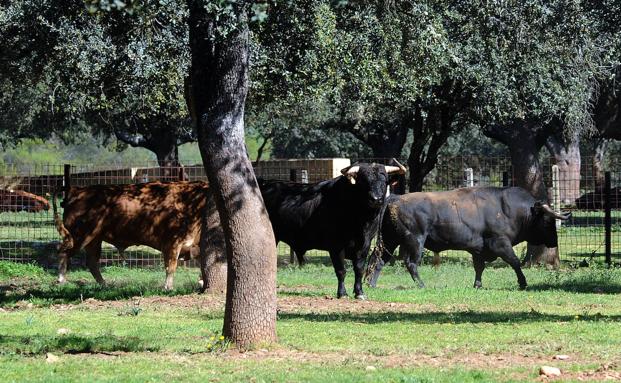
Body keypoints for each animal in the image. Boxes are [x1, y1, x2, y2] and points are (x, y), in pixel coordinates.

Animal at [52, 182, 223, 290]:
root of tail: (76, 190)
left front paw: (200, 281)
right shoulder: (173, 243)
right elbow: (171, 266)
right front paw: (168, 287)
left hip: (94, 240)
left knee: (92, 263)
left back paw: (104, 284)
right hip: (79, 236)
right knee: (63, 252)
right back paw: (61, 279)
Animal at [258, 162, 406, 300]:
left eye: (385, 181)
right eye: (363, 181)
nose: (376, 199)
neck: (361, 220)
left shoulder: (365, 245)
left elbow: (359, 269)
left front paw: (359, 292)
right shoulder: (336, 246)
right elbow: (341, 270)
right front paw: (342, 293)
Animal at [366, 187, 568, 292]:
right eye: (548, 220)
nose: (554, 242)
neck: (509, 209)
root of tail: (395, 198)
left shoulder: (478, 249)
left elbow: (479, 267)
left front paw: (477, 285)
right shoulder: (500, 244)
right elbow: (515, 262)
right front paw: (523, 283)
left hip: (390, 241)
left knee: (379, 260)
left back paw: (372, 284)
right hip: (415, 241)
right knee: (410, 263)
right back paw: (422, 285)